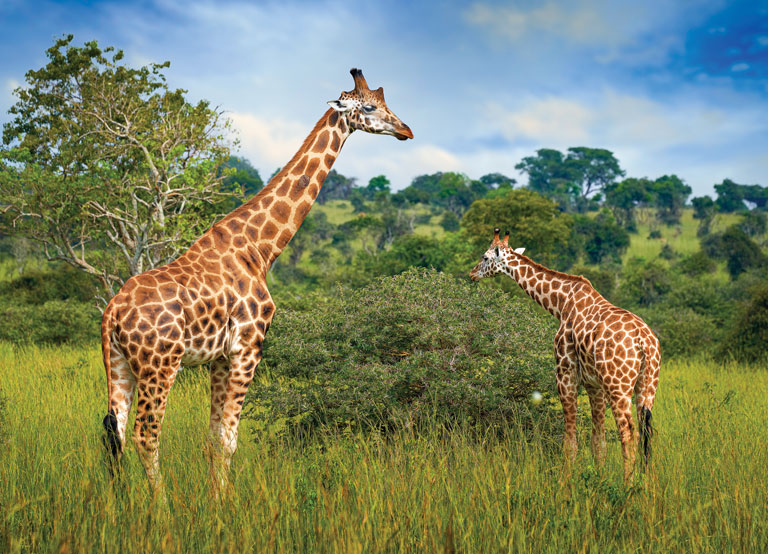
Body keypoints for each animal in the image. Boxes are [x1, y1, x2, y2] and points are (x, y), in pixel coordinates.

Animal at [100, 68, 413, 495]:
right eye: (368, 107)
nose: (406, 130)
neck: (260, 250)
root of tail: (111, 314)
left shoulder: (220, 356)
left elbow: (213, 437)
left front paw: (216, 499)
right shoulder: (248, 346)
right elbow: (229, 440)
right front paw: (224, 505)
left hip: (119, 364)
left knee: (112, 432)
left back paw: (120, 504)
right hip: (159, 365)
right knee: (145, 435)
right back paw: (160, 506)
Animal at [470, 229, 660, 481]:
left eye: (485, 257)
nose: (472, 274)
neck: (560, 304)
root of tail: (644, 343)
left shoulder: (565, 375)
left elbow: (569, 442)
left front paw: (565, 481)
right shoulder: (594, 384)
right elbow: (597, 442)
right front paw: (598, 479)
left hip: (618, 386)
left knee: (629, 432)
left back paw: (628, 484)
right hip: (646, 386)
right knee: (646, 432)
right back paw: (646, 482)